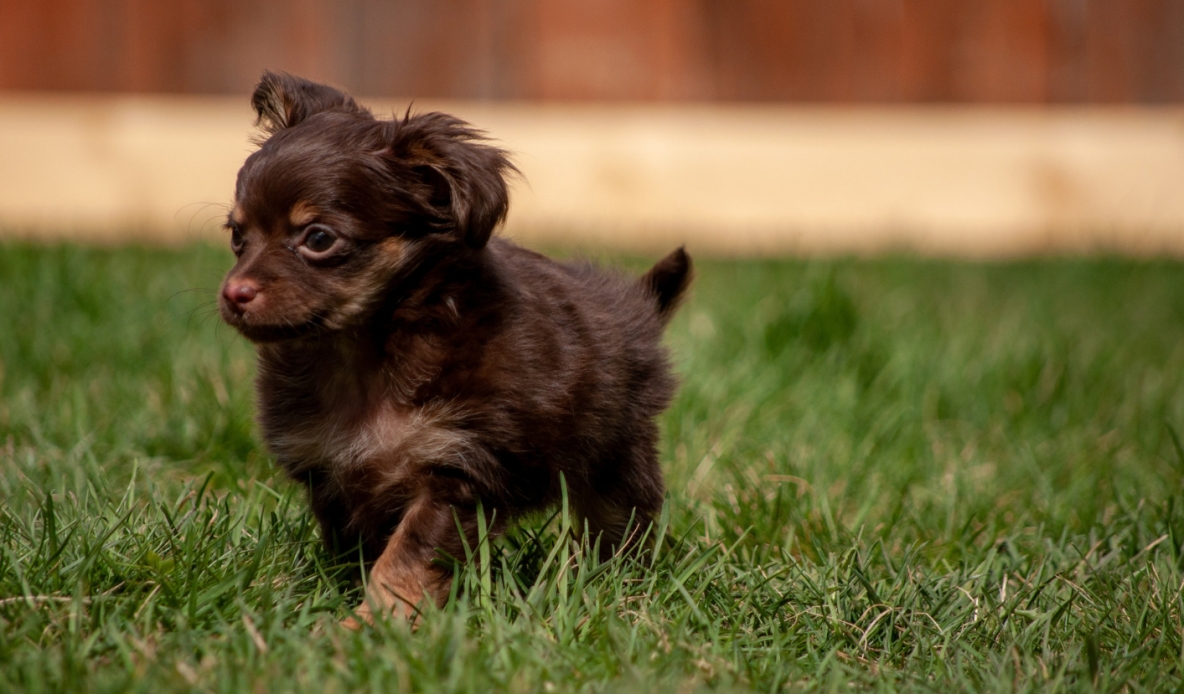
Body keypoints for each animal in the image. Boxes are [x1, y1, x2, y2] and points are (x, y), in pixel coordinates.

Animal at [220, 72, 691, 625]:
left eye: (318, 239)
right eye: (237, 236)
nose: (234, 293)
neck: (363, 352)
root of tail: (636, 306)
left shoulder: (460, 473)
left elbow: (404, 561)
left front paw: (368, 626)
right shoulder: (334, 476)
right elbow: (363, 555)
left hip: (616, 461)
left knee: (620, 528)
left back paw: (613, 586)